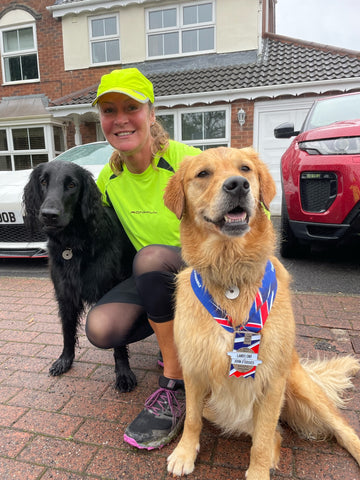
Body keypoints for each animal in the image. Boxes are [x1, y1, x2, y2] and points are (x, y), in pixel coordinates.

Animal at [22, 159, 138, 392]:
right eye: (43, 181)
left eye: (71, 185)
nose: (48, 214)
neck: (73, 246)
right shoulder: (65, 295)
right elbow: (67, 331)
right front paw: (65, 360)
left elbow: (118, 342)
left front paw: (123, 373)